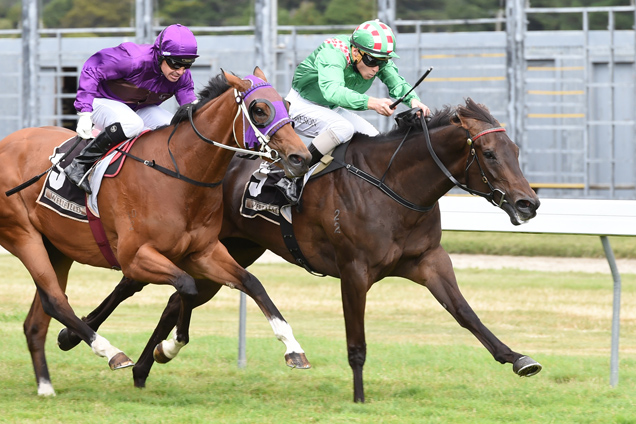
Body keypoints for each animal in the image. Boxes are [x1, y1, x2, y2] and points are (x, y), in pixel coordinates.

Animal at [0, 68, 312, 396]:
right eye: (260, 110)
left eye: (287, 107)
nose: (301, 158)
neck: (181, 173)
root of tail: (6, 142)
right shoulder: (135, 257)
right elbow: (186, 286)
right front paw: (168, 348)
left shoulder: (204, 252)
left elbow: (252, 284)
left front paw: (293, 348)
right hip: (23, 235)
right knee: (55, 300)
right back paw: (111, 352)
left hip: (57, 248)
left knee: (39, 317)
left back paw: (46, 384)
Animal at [52, 97, 540, 402]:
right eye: (489, 154)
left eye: (516, 149)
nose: (528, 203)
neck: (395, 186)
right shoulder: (354, 270)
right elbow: (356, 342)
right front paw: (359, 396)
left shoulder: (428, 261)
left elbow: (466, 314)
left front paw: (518, 358)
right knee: (135, 283)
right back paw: (77, 336)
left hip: (230, 251)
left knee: (177, 297)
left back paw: (147, 362)